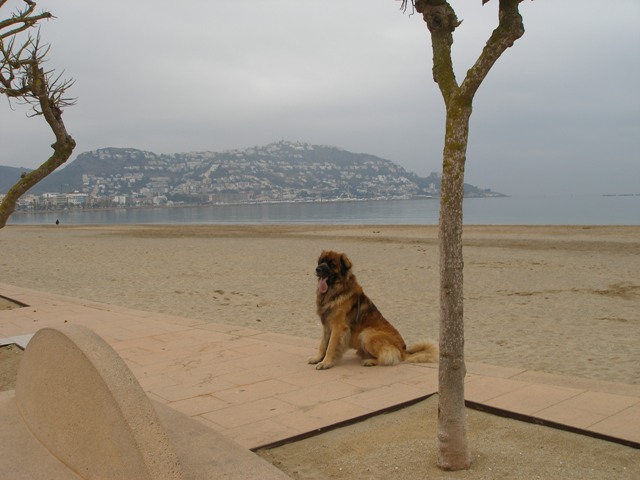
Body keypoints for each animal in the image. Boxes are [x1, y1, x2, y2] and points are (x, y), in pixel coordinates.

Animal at [308, 249, 438, 370]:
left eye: (331, 264)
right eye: (321, 261)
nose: (317, 269)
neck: (336, 291)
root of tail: (403, 351)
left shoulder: (338, 327)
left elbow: (330, 347)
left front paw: (325, 363)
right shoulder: (326, 325)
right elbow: (323, 344)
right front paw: (318, 358)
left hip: (367, 335)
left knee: (390, 357)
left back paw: (369, 361)